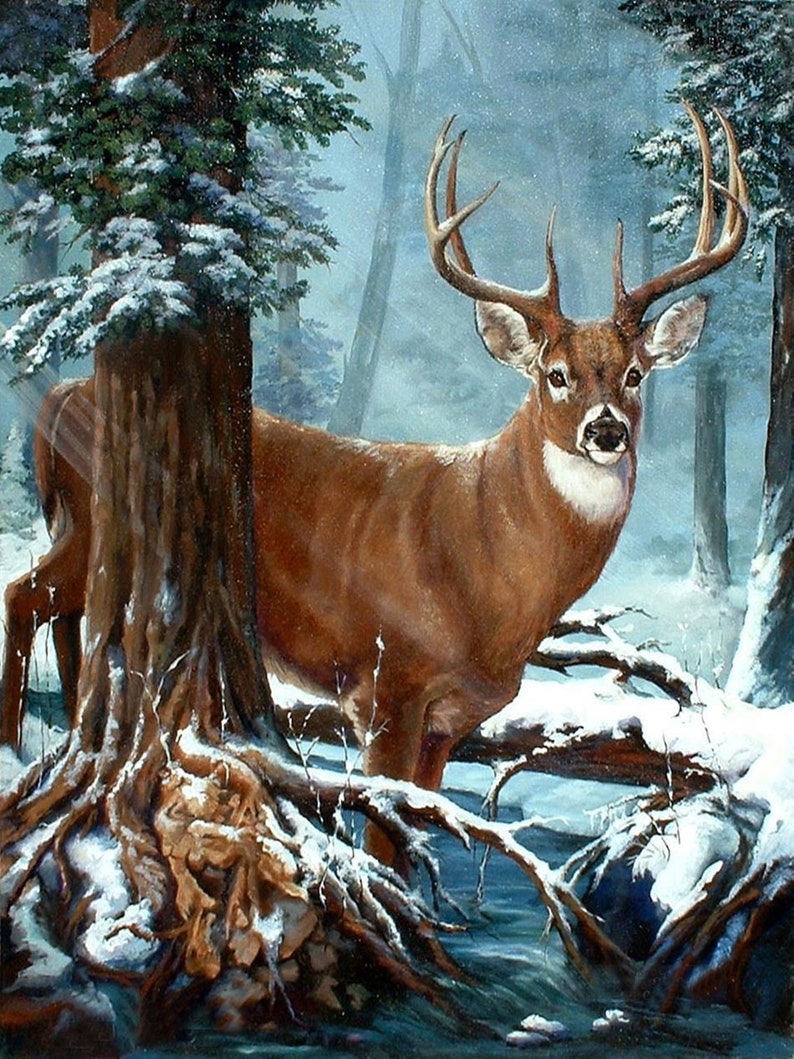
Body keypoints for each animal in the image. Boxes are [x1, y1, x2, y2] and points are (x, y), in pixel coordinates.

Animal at [3, 106, 747, 860]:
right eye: (555, 374)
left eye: (635, 374)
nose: (606, 430)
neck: (489, 571)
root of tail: (59, 397)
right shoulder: (389, 685)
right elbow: (390, 828)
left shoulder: (451, 717)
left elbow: (421, 829)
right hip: (98, 522)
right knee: (25, 595)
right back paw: (15, 751)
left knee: (69, 621)